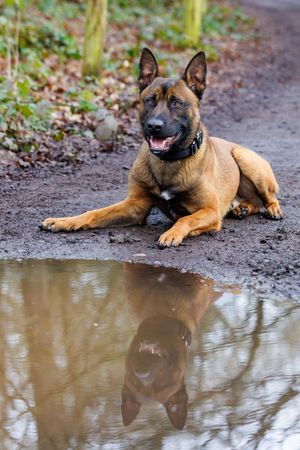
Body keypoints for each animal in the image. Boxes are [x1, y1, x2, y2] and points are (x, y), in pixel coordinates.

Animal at [41, 47, 282, 248]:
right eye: (150, 100)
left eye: (177, 103)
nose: (154, 126)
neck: (169, 160)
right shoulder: (134, 207)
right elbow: (93, 212)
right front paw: (64, 221)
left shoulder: (210, 211)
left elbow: (186, 219)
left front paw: (173, 233)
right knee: (254, 202)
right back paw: (243, 208)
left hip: (243, 157)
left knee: (268, 198)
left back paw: (272, 209)